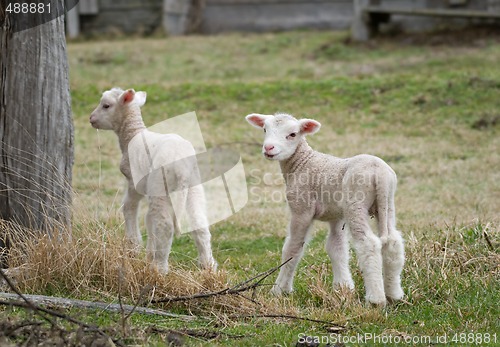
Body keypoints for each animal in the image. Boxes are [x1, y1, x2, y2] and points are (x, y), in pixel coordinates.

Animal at [91, 88, 216, 274]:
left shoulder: (134, 181)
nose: (91, 119)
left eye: (106, 105)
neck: (132, 134)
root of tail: (182, 167)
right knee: (199, 222)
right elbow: (149, 218)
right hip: (194, 184)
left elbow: (129, 206)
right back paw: (207, 267)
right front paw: (149, 252)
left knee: (165, 225)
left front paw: (134, 246)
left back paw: (160, 268)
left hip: (160, 185)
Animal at [246, 113, 406, 306]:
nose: (269, 148)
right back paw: (394, 294)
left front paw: (280, 290)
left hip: (356, 203)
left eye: (292, 134)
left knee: (368, 243)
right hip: (387, 203)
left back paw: (376, 299)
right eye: (264, 130)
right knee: (393, 242)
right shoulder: (336, 216)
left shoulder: (302, 209)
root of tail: (379, 172)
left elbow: (293, 248)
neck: (302, 162)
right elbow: (337, 248)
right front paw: (343, 287)